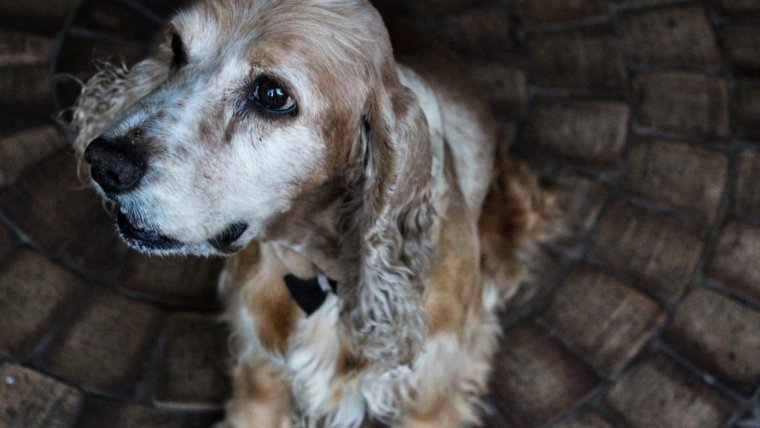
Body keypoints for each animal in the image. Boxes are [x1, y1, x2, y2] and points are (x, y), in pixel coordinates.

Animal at [70, 1, 552, 426]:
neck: (318, 274)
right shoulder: (257, 379)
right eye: (177, 47)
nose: (104, 162)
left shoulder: (430, 398)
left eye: (272, 95)